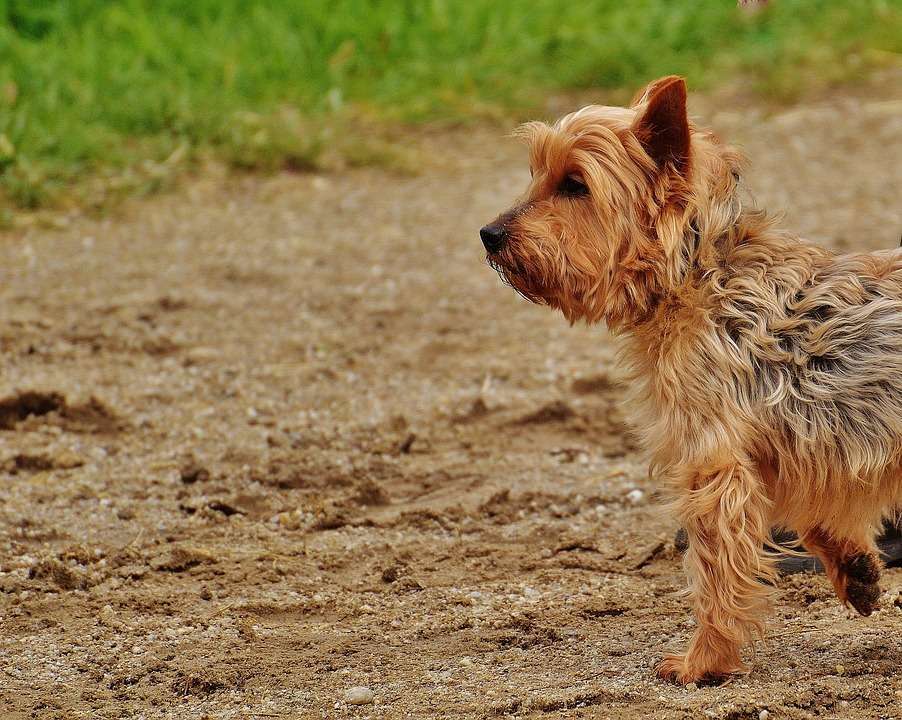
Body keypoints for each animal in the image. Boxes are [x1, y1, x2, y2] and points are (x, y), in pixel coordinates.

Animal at [484, 74, 902, 688]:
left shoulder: (712, 461)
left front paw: (704, 660)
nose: (488, 234)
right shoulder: (779, 451)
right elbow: (809, 513)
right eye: (538, 174)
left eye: (575, 185)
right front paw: (857, 570)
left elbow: (715, 569)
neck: (698, 269)